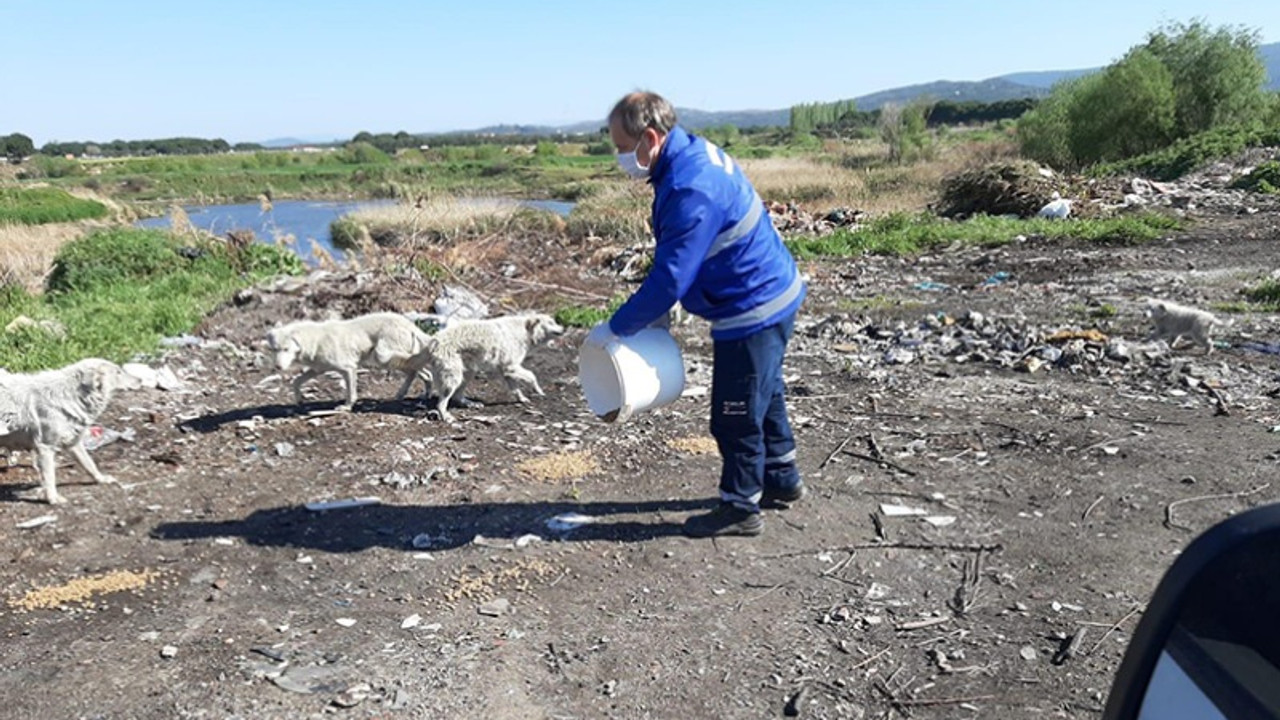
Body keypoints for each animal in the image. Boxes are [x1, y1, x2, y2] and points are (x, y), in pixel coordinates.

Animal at [0, 356, 144, 502]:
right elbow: (50, 477)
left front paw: (101, 479)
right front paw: (53, 498)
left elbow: (90, 464)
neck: (71, 396)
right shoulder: (45, 447)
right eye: (118, 372)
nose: (141, 380)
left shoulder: (73, 443)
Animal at [264, 310, 435, 409]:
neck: (314, 341)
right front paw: (299, 400)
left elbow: (350, 393)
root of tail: (410, 324)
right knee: (423, 374)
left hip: (382, 357)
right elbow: (296, 381)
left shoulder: (348, 368)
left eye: (286, 349)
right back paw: (417, 395)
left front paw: (347, 407)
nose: (277, 367)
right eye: (274, 349)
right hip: (391, 360)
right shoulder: (317, 370)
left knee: (418, 371)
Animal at [414, 310, 565, 420]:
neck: (525, 331)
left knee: (457, 396)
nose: (563, 329)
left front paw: (522, 399)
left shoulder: (506, 370)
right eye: (551, 322)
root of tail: (434, 340)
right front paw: (539, 390)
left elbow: (515, 388)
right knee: (442, 402)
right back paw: (446, 416)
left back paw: (471, 404)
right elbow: (532, 375)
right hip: (453, 375)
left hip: (467, 372)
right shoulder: (510, 366)